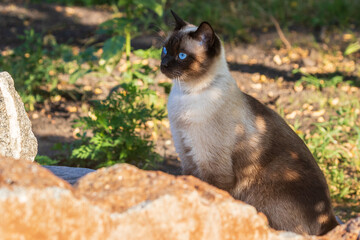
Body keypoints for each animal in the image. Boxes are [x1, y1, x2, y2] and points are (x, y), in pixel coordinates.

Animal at [162, 10, 338, 235]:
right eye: (165, 50)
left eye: (182, 56)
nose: (163, 65)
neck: (186, 94)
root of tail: (330, 220)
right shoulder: (187, 158)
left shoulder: (212, 166)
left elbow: (211, 194)